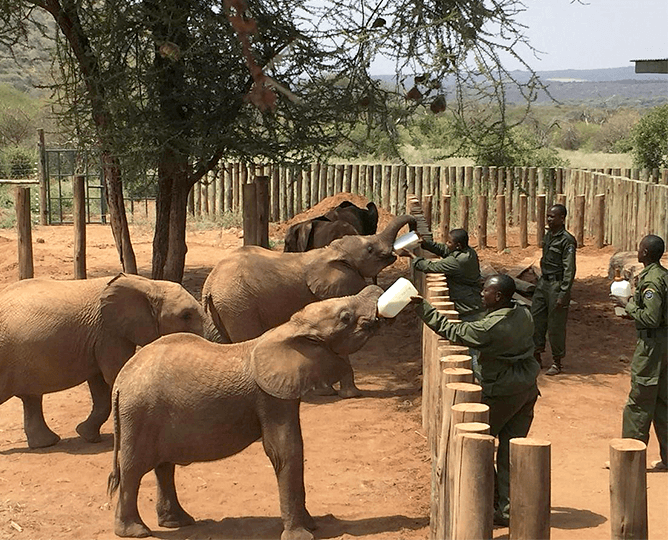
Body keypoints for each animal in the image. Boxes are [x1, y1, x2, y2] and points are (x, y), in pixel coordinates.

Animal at [0, 272, 209, 450]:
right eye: (186, 316)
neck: (148, 284)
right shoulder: (109, 333)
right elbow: (113, 375)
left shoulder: (100, 337)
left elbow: (100, 383)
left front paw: (87, 436)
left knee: (31, 398)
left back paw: (46, 444)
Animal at [107, 284, 384, 536]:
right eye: (345, 317)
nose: (378, 290)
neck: (291, 328)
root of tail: (120, 383)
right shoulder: (268, 397)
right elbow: (285, 450)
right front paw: (302, 534)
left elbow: (289, 450)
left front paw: (312, 525)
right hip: (139, 412)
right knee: (133, 468)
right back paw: (136, 531)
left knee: (164, 466)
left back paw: (178, 522)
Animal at [201, 215, 414, 396]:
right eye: (370, 249)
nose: (411, 244)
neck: (331, 252)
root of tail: (210, 283)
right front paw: (349, 394)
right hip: (238, 305)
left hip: (220, 308)